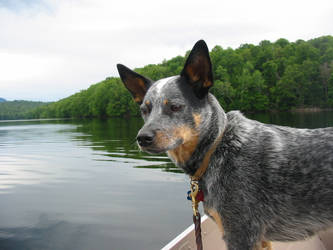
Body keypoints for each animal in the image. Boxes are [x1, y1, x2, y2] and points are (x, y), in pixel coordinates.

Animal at [116, 40, 332, 249]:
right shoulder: (259, 240)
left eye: (175, 107)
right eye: (144, 110)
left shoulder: (242, 234)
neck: (216, 149)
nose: (142, 138)